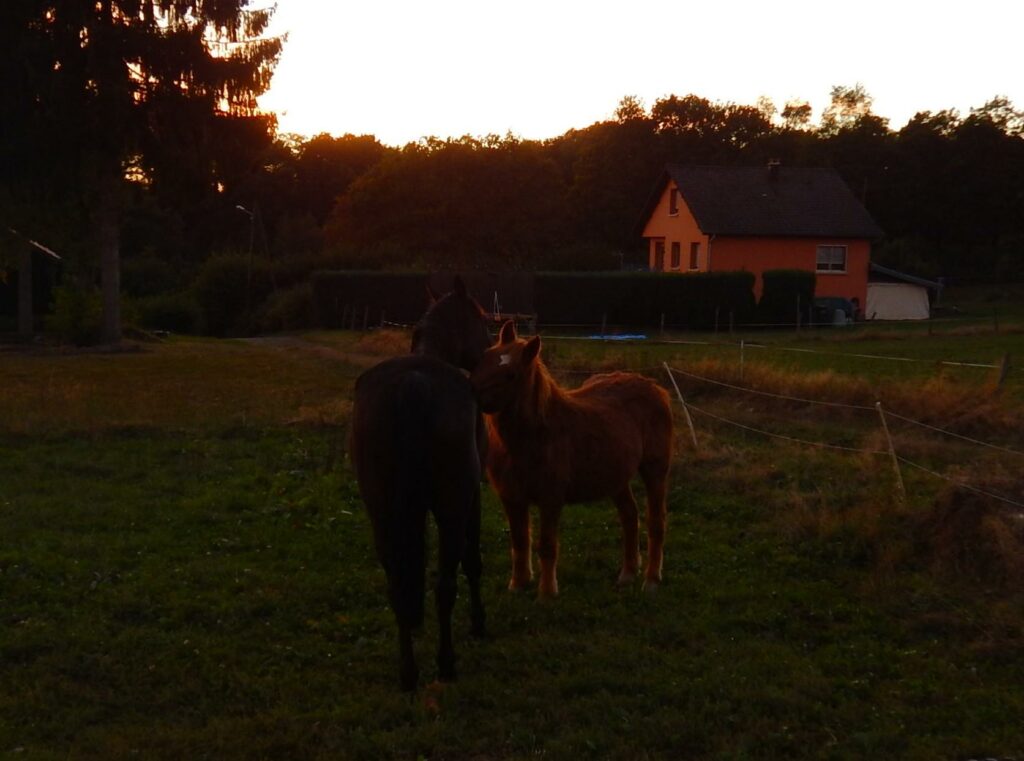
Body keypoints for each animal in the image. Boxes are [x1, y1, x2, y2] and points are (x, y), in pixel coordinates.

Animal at [350, 278, 493, 692]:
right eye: (482, 319)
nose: (487, 356)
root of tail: (413, 382)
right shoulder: (473, 497)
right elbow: (472, 562)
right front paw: (478, 623)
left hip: (381, 514)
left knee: (398, 586)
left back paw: (408, 673)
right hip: (452, 506)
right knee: (445, 585)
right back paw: (445, 664)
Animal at [468, 317, 675, 598]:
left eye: (511, 375)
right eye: (484, 359)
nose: (469, 393)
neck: (533, 437)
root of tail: (655, 387)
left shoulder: (551, 499)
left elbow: (546, 545)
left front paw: (546, 594)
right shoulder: (511, 498)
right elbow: (519, 541)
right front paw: (518, 584)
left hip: (655, 471)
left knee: (656, 522)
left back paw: (651, 580)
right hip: (616, 478)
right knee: (630, 517)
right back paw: (627, 574)